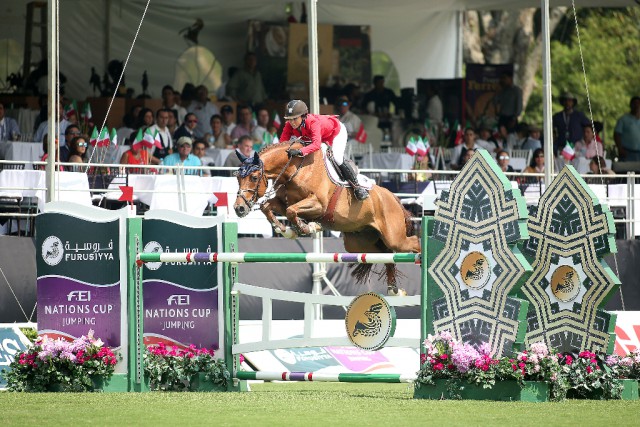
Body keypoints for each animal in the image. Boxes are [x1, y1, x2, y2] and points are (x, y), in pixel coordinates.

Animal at [230, 140, 420, 294]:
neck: (296, 169)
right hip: (359, 243)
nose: (239, 208)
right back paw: (394, 290)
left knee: (413, 241)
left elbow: (291, 211)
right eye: (238, 178)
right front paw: (285, 230)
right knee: (386, 254)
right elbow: (268, 207)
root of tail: (394, 197)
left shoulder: (318, 204)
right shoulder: (282, 202)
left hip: (394, 236)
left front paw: (307, 227)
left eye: (254, 177)